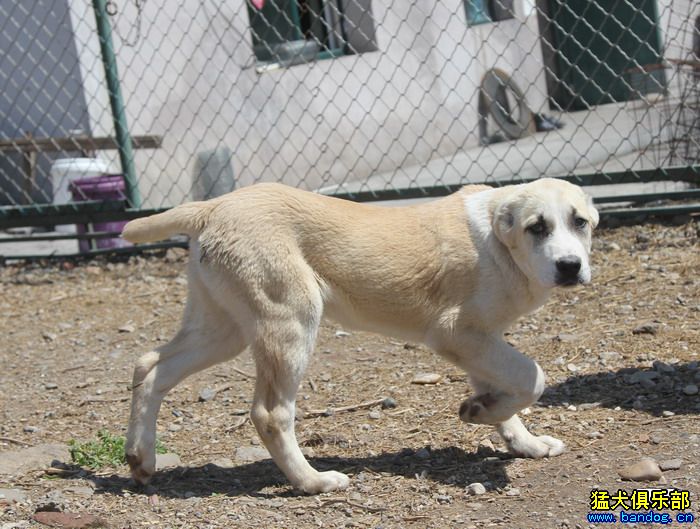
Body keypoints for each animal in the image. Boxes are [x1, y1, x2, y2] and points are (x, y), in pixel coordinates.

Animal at [120, 178, 596, 496]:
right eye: (537, 227)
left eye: (581, 223)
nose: (570, 266)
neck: (499, 242)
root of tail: (213, 206)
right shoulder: (455, 332)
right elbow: (533, 376)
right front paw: (485, 413)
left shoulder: (481, 341)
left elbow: (507, 392)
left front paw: (509, 430)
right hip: (289, 322)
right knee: (270, 413)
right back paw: (313, 481)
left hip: (223, 329)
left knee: (150, 366)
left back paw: (141, 459)